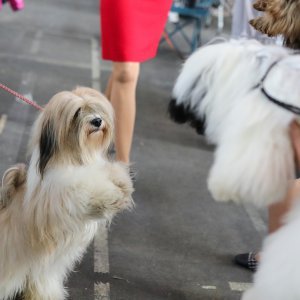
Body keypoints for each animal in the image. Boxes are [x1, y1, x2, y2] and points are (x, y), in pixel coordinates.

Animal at [0, 85, 134, 298]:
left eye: (95, 109)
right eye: (77, 112)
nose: (97, 121)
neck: (75, 156)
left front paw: (121, 182)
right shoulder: (60, 202)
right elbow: (87, 186)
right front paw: (111, 192)